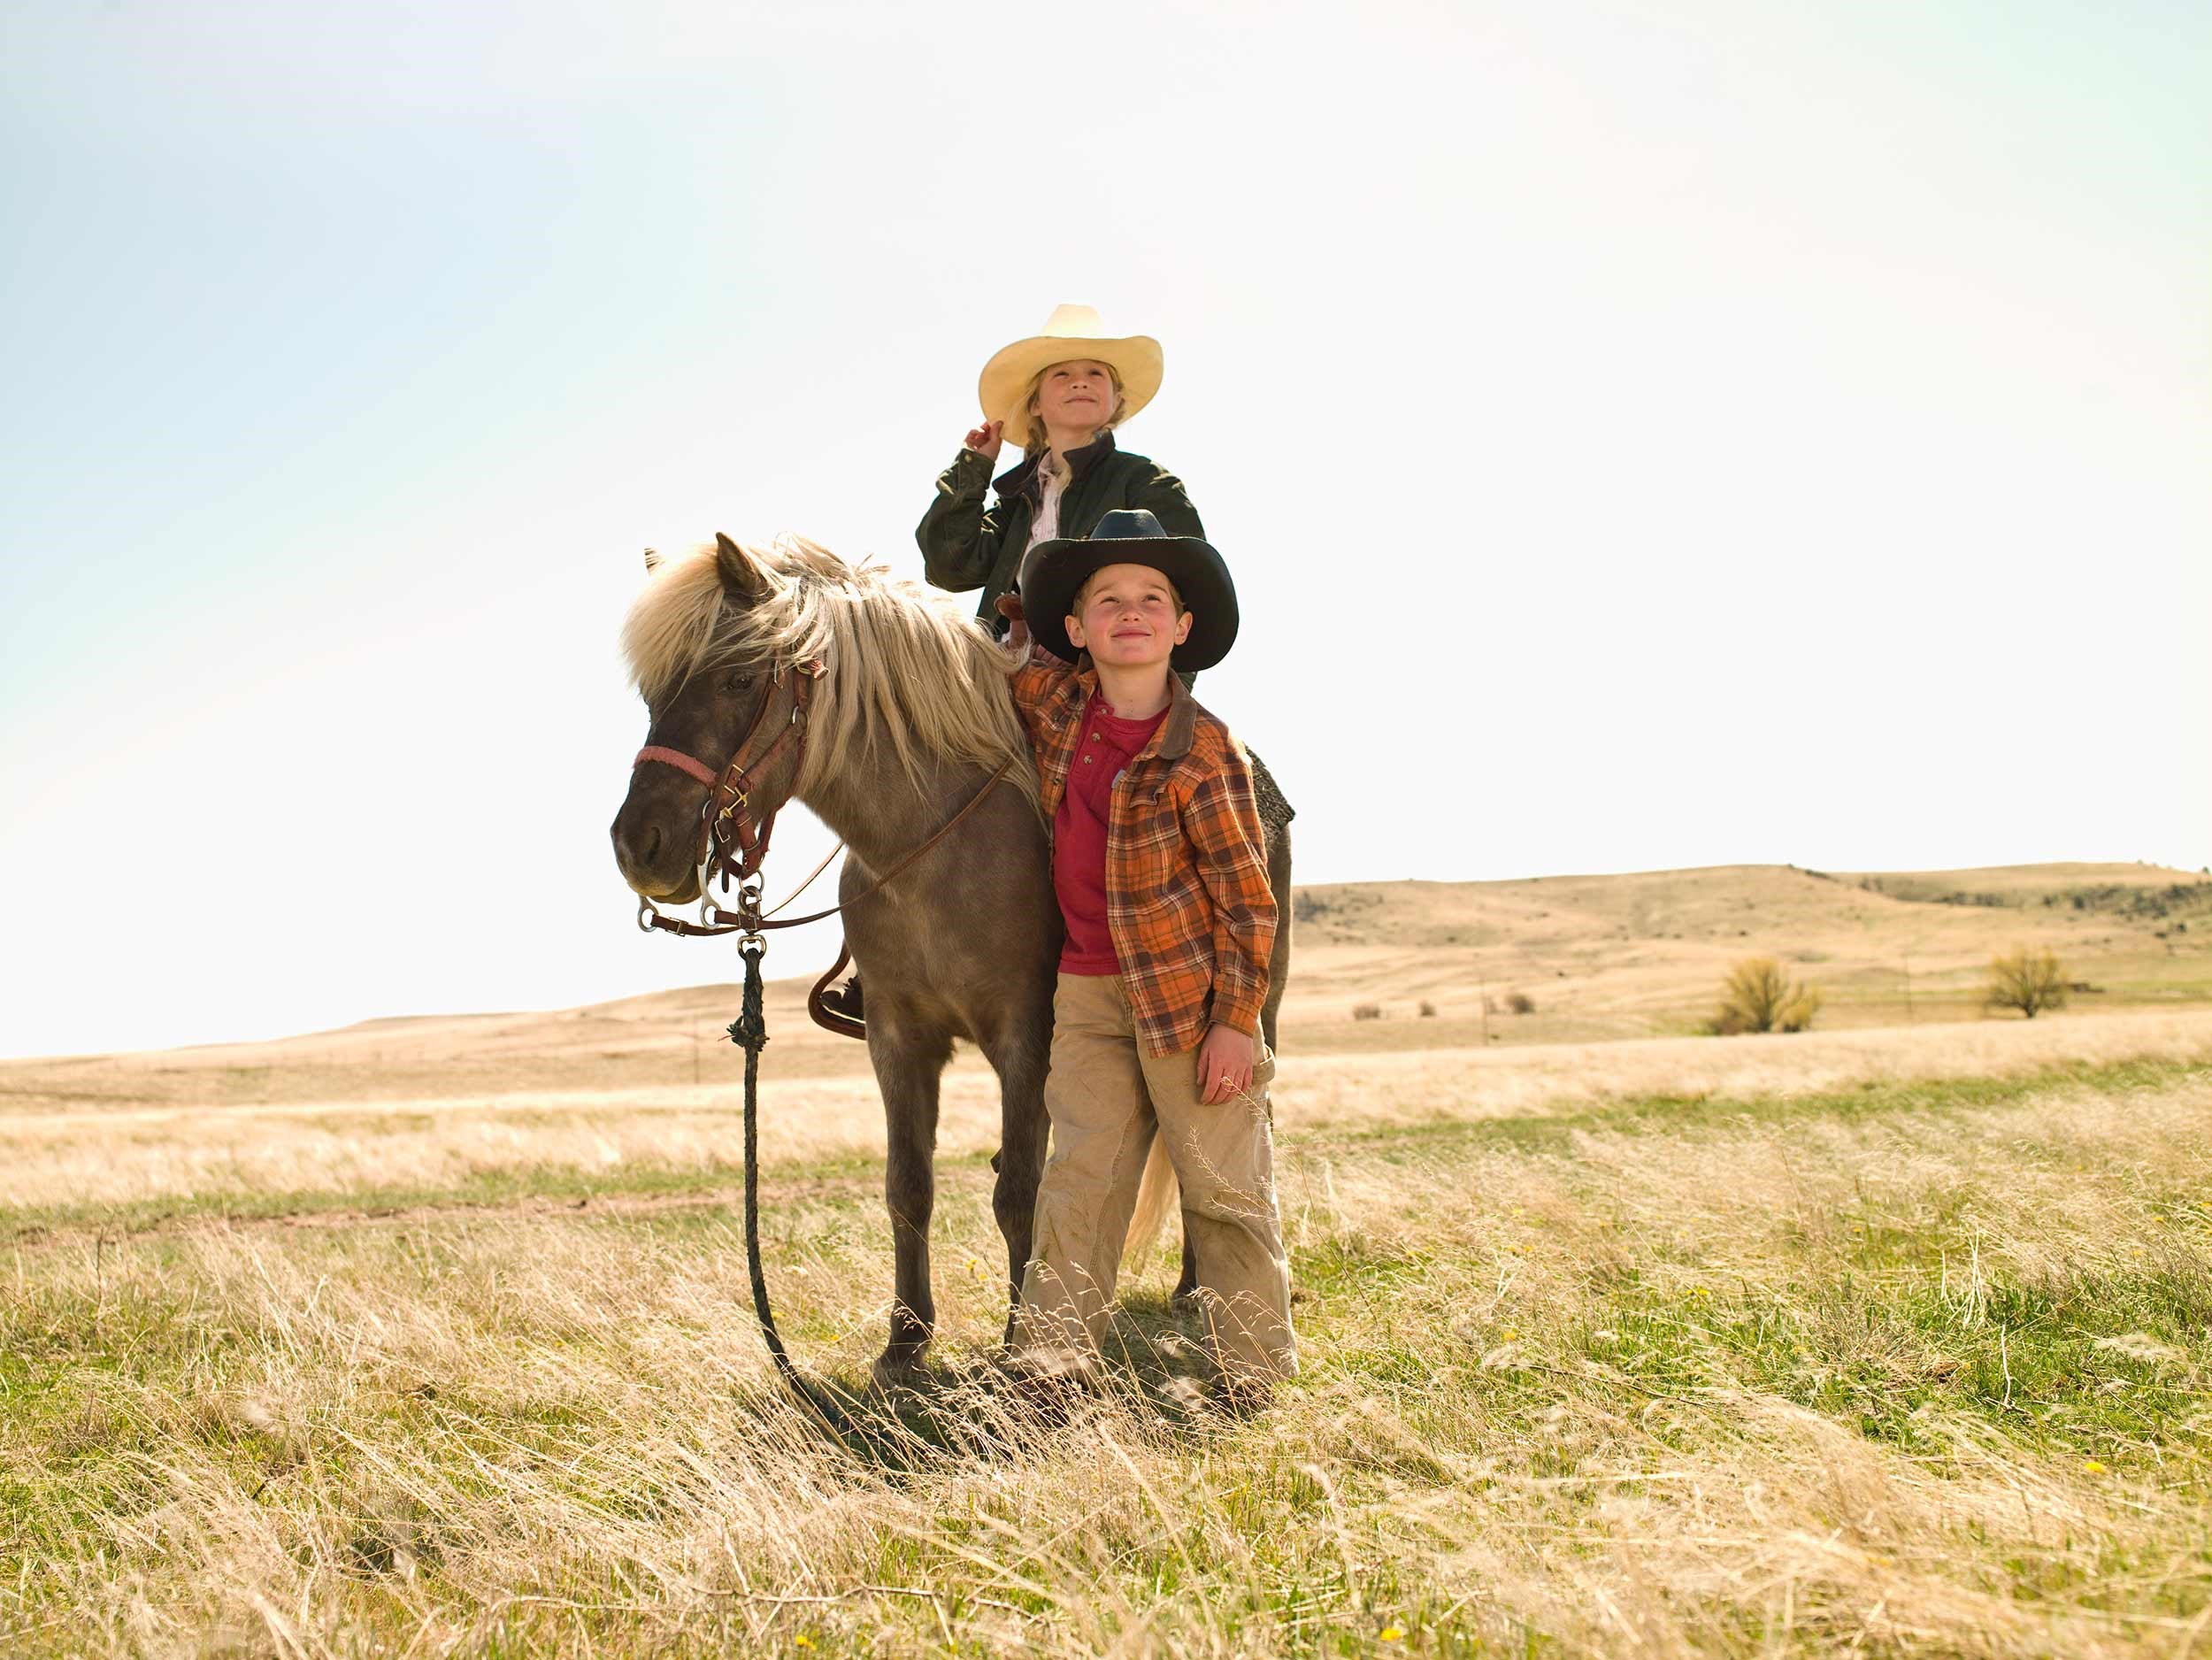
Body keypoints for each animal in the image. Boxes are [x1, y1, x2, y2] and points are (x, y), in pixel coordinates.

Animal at [609, 533, 1291, 1388]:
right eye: (652, 693)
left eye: (737, 677)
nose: (639, 846)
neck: (931, 844)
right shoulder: (898, 1037)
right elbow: (910, 1185)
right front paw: (905, 1344)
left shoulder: (1027, 1038)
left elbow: (1022, 1191)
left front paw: (1018, 1340)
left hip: (1243, 1019)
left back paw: (1198, 1292)